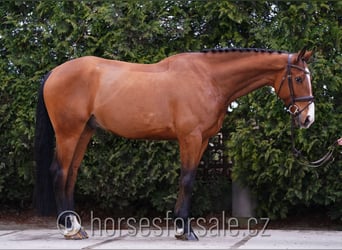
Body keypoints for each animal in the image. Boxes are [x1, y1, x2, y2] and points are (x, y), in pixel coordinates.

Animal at [35, 47, 316, 240]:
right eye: (299, 79)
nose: (308, 118)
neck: (209, 79)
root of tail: (54, 72)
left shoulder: (203, 140)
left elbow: (187, 179)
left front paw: (182, 227)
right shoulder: (190, 138)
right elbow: (188, 180)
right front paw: (185, 230)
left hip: (84, 132)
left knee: (71, 174)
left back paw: (77, 226)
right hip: (68, 132)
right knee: (59, 172)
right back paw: (70, 228)